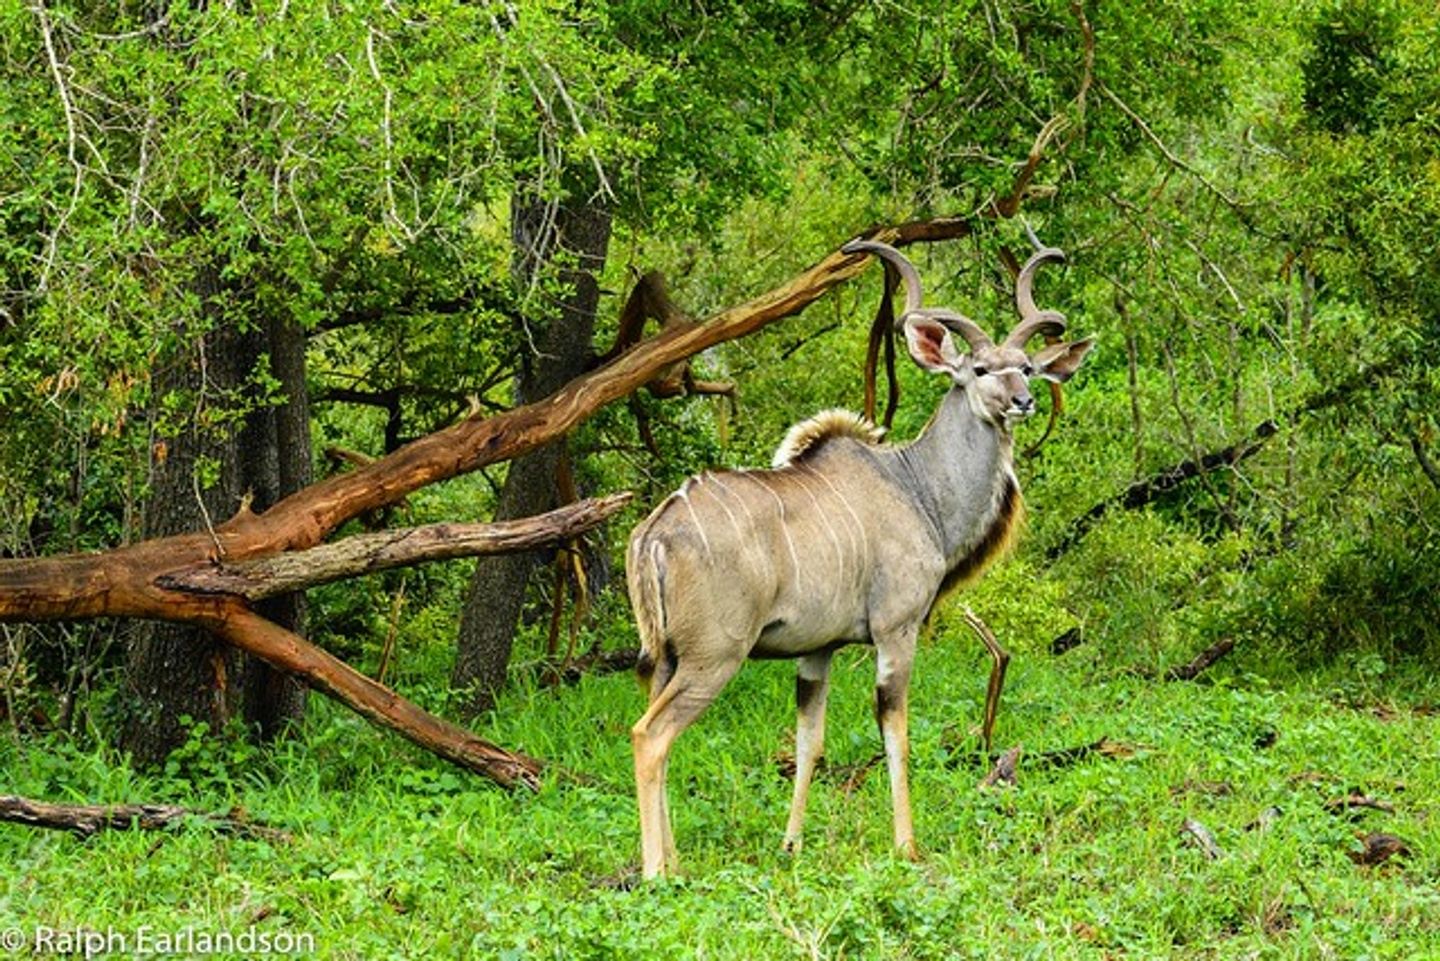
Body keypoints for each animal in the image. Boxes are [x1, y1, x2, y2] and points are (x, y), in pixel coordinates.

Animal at [627, 234, 1088, 881]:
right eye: (978, 370)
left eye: (1025, 367)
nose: (1022, 402)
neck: (916, 486)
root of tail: (654, 533)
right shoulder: (897, 629)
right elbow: (896, 730)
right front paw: (906, 846)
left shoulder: (816, 650)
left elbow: (808, 741)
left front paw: (791, 845)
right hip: (713, 657)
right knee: (651, 735)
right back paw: (657, 872)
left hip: (666, 658)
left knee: (659, 731)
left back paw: (672, 857)